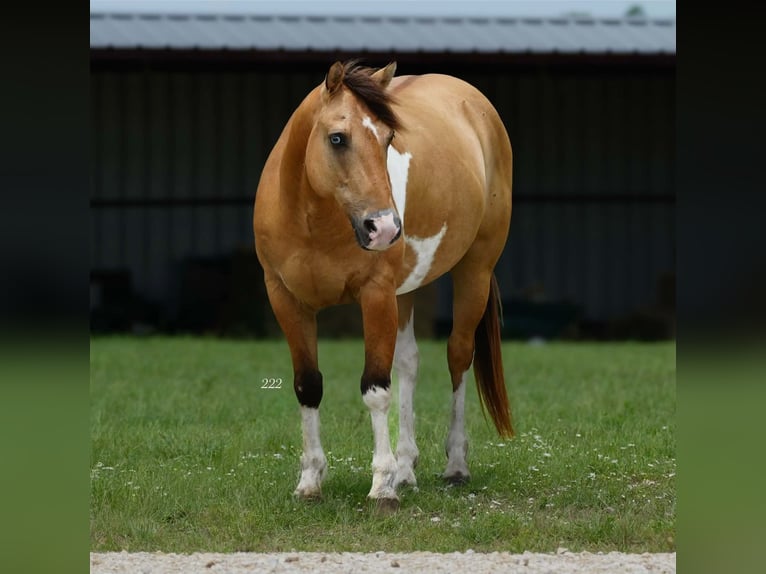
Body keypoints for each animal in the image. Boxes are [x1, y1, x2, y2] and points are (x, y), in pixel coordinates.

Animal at [253, 60, 513, 513]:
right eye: (337, 138)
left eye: (389, 138)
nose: (386, 228)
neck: (313, 220)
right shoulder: (286, 299)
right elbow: (308, 385)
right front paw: (310, 482)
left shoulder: (375, 295)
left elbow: (375, 389)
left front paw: (381, 487)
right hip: (405, 292)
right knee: (408, 363)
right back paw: (407, 469)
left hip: (474, 271)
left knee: (458, 357)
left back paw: (455, 466)